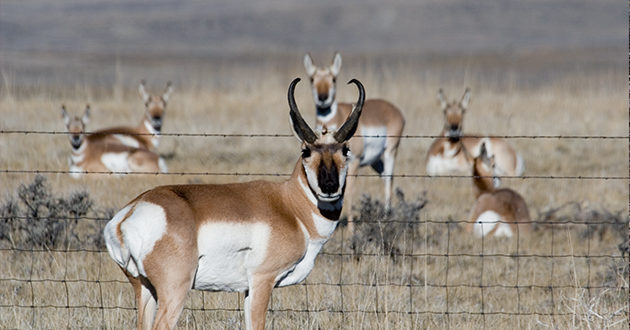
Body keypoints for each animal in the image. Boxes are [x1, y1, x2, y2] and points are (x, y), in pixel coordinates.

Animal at [103, 78, 366, 330]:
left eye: (345, 149)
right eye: (306, 151)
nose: (329, 186)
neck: (290, 207)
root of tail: (128, 215)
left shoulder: (247, 290)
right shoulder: (262, 281)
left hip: (144, 289)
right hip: (174, 291)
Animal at [304, 52, 404, 231]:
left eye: (333, 78)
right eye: (312, 79)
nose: (323, 98)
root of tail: (395, 110)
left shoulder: (354, 162)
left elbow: (349, 191)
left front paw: (350, 229)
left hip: (389, 152)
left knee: (388, 179)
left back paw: (386, 215)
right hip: (376, 162)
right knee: (387, 177)